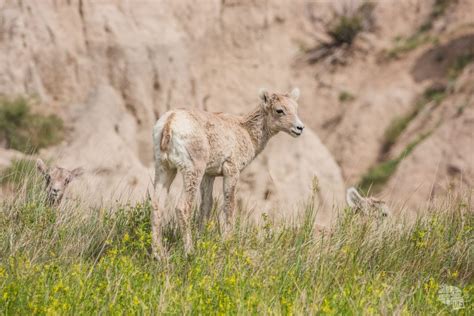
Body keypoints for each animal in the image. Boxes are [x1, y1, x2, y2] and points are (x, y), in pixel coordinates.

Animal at [154, 87, 306, 256]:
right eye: (279, 110)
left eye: (295, 108)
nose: (299, 128)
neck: (246, 132)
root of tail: (169, 122)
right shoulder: (231, 170)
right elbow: (229, 206)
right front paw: (226, 242)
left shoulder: (209, 175)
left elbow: (206, 206)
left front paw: (202, 239)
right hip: (193, 170)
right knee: (182, 207)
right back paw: (189, 252)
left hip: (164, 169)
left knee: (156, 206)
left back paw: (159, 254)